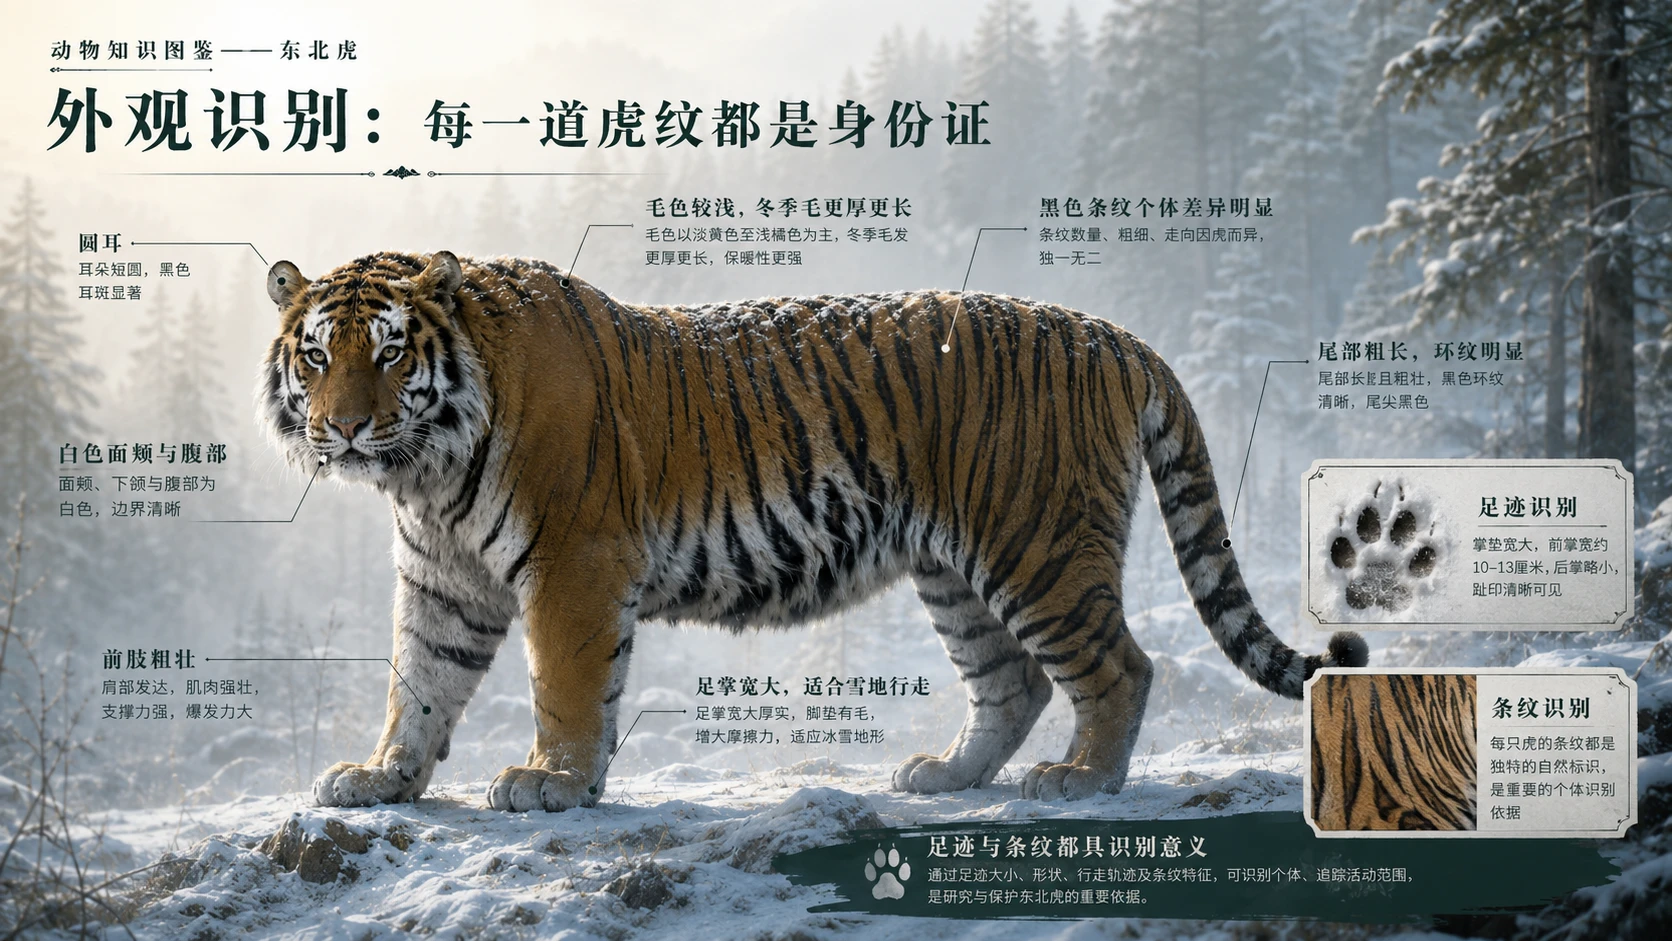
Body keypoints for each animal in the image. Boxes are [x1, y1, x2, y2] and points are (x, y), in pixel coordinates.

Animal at [259, 250, 1369, 813]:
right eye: (317, 355)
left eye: (389, 354)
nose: (343, 425)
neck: (426, 467)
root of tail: (1109, 332)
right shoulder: (443, 577)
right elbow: (418, 682)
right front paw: (380, 776)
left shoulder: (575, 563)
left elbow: (567, 688)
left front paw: (553, 782)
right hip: (955, 568)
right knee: (1013, 679)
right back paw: (947, 774)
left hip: (1036, 542)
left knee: (1119, 667)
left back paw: (1082, 777)